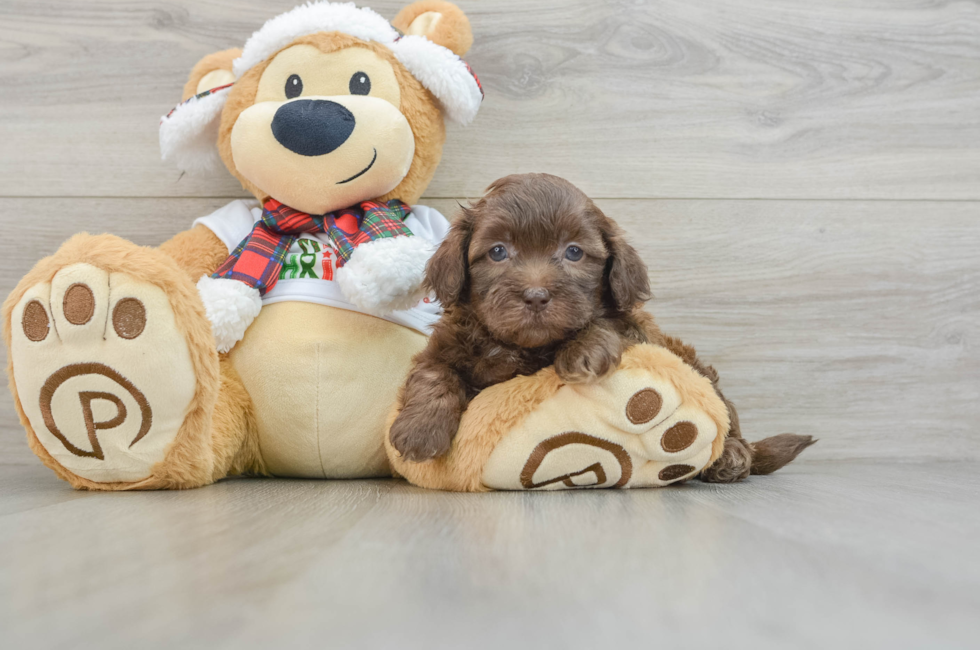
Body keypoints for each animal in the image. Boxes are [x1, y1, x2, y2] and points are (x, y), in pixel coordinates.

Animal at [390, 172, 812, 476]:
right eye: (497, 252)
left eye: (574, 252)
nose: (536, 295)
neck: (521, 347)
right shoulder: (445, 344)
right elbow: (433, 375)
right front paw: (419, 430)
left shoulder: (633, 327)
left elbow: (605, 322)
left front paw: (582, 350)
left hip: (697, 369)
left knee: (726, 417)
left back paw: (732, 457)